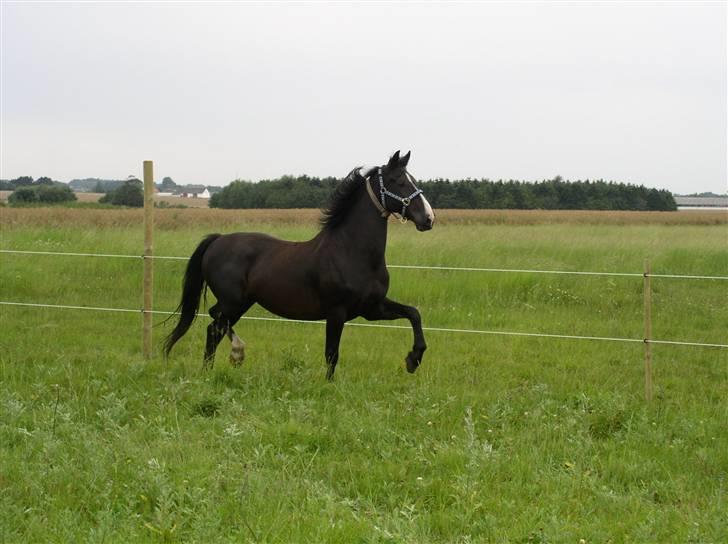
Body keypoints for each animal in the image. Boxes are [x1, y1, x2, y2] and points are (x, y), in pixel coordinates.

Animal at [164, 149, 436, 378]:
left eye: (412, 179)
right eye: (398, 181)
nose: (429, 218)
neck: (353, 252)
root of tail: (218, 240)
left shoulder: (372, 308)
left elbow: (414, 313)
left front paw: (413, 360)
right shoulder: (337, 312)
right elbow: (332, 354)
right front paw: (328, 386)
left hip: (241, 303)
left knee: (215, 327)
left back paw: (213, 368)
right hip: (234, 302)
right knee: (214, 326)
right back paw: (231, 357)